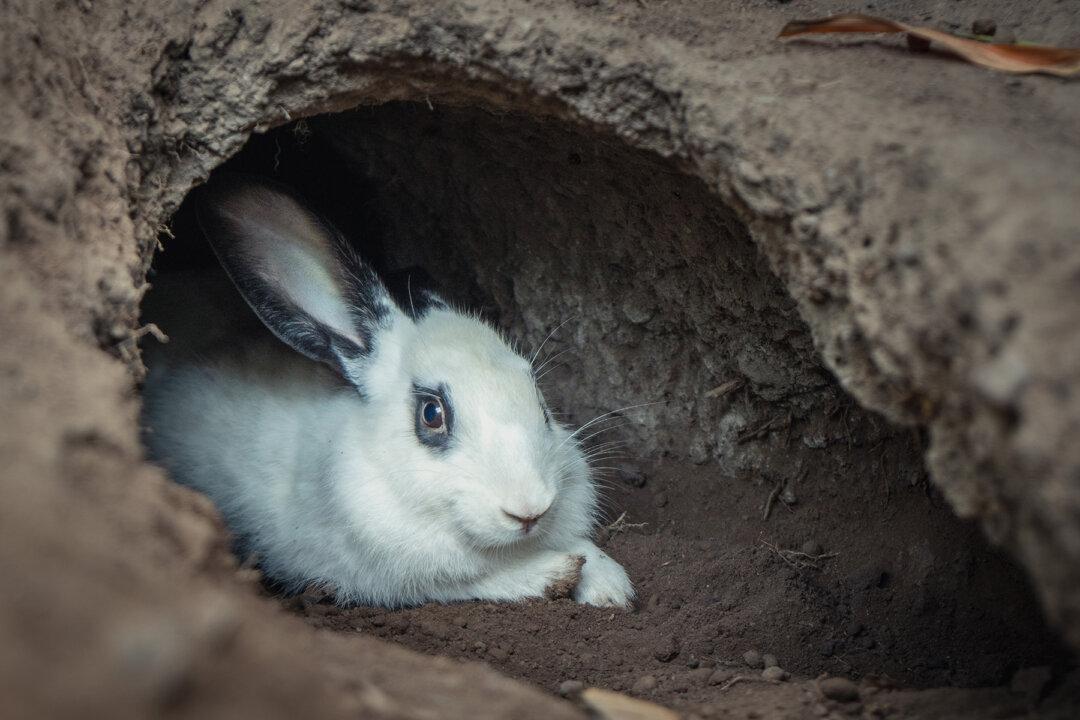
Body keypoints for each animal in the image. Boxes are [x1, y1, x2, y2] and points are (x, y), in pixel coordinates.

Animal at [140, 174, 634, 609]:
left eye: (539, 398)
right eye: (431, 414)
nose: (529, 509)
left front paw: (610, 586)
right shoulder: (389, 578)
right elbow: (478, 580)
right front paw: (560, 574)